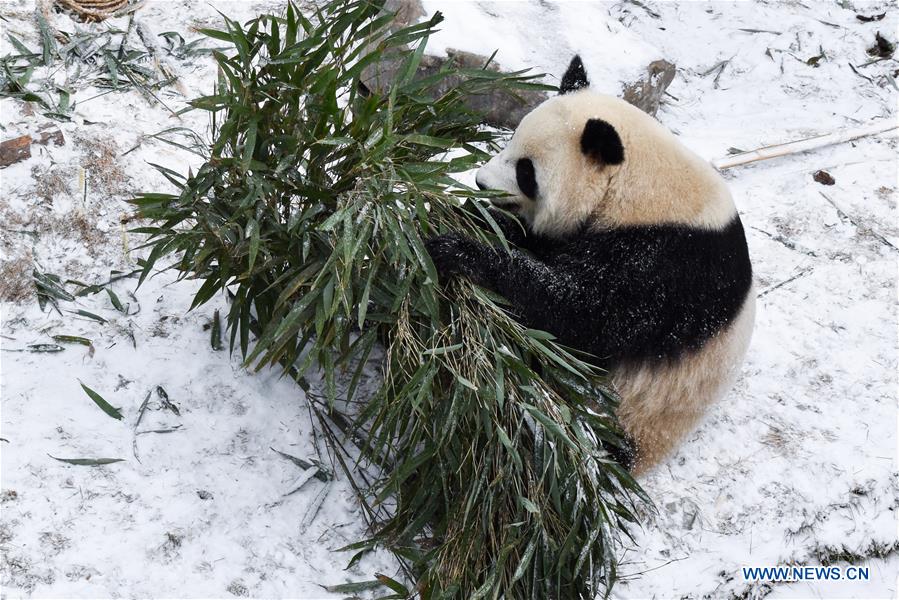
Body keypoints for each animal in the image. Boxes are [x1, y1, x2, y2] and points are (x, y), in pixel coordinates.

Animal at [425, 56, 755, 475]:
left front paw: (462, 250)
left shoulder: (666, 266)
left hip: (636, 413)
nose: (482, 183)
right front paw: (468, 212)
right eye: (511, 137)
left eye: (526, 171)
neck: (640, 186)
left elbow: (580, 312)